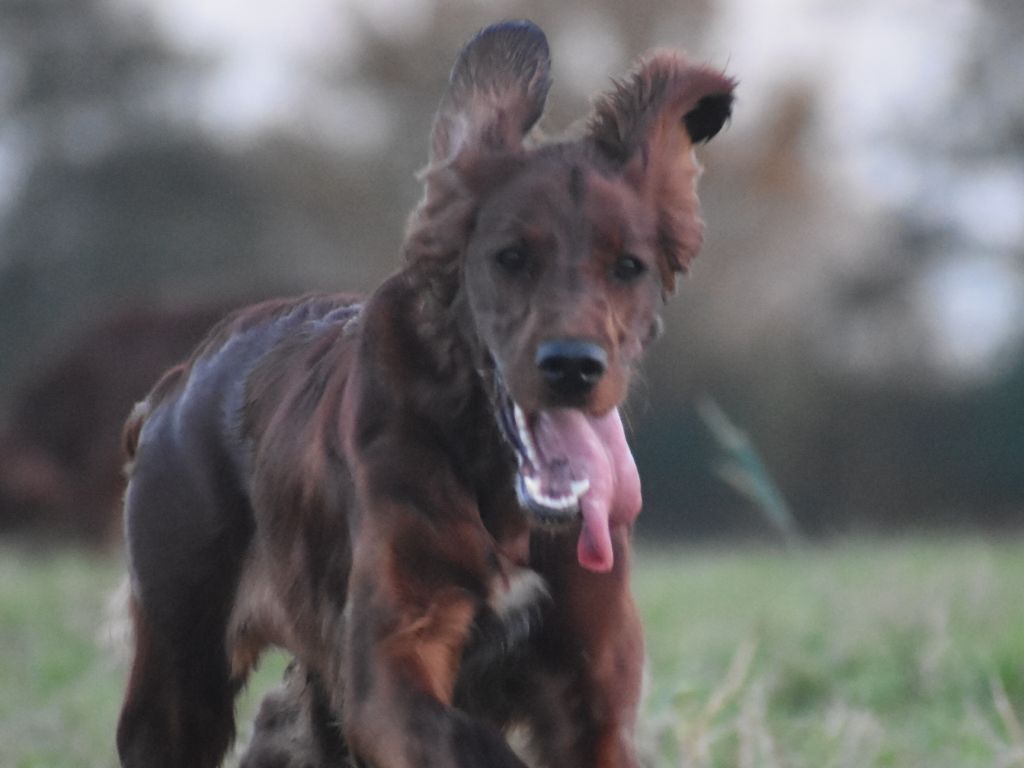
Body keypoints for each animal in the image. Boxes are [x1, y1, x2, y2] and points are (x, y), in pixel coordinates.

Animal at [116, 20, 733, 765]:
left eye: (628, 266)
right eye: (510, 257)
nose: (573, 366)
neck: (505, 503)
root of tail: (176, 383)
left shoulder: (594, 693)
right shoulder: (388, 671)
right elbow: (472, 743)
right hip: (181, 672)